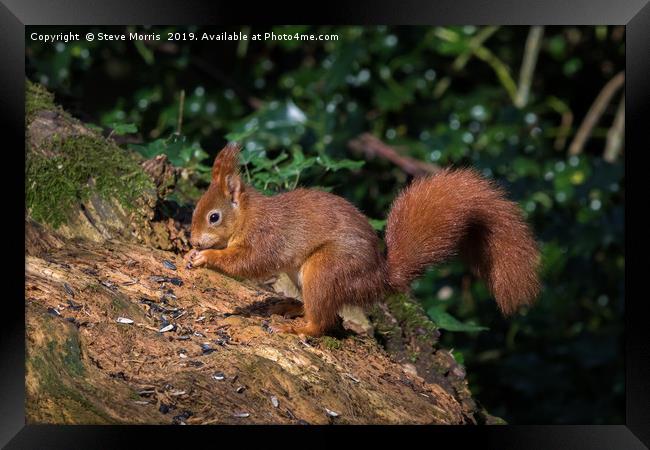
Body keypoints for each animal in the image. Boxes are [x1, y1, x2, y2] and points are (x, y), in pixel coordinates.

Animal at [185, 142, 540, 336]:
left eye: (213, 217)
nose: (194, 241)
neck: (247, 215)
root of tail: (377, 278)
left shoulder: (265, 235)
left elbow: (248, 261)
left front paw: (205, 258)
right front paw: (192, 255)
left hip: (325, 269)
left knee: (324, 322)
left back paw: (297, 328)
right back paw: (290, 307)